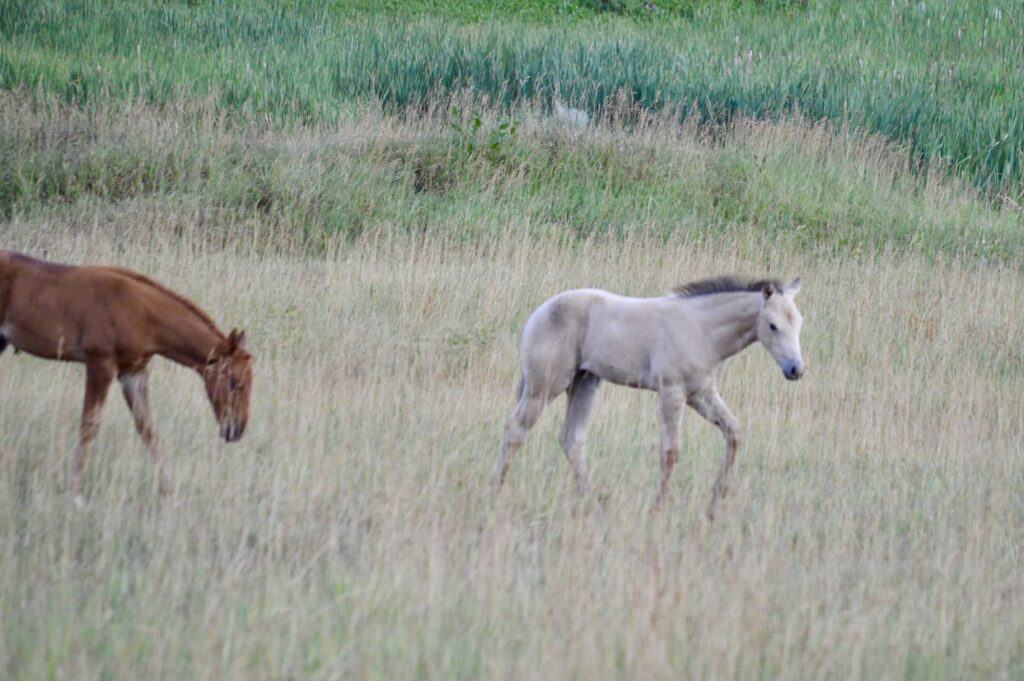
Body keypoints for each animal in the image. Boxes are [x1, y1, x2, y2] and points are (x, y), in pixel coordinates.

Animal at [0, 250, 253, 503]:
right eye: (234, 384)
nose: (237, 430)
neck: (140, 312)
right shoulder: (100, 364)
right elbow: (90, 424)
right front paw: (77, 493)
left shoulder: (133, 372)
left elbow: (147, 428)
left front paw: (169, 491)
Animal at [491, 274, 802, 518]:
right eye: (773, 325)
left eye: (799, 322)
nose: (795, 369)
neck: (701, 330)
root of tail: (539, 314)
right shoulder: (672, 393)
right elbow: (670, 451)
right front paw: (657, 509)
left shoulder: (701, 395)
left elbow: (733, 432)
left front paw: (714, 507)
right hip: (545, 385)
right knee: (515, 429)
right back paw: (497, 492)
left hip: (585, 383)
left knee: (572, 439)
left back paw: (593, 506)